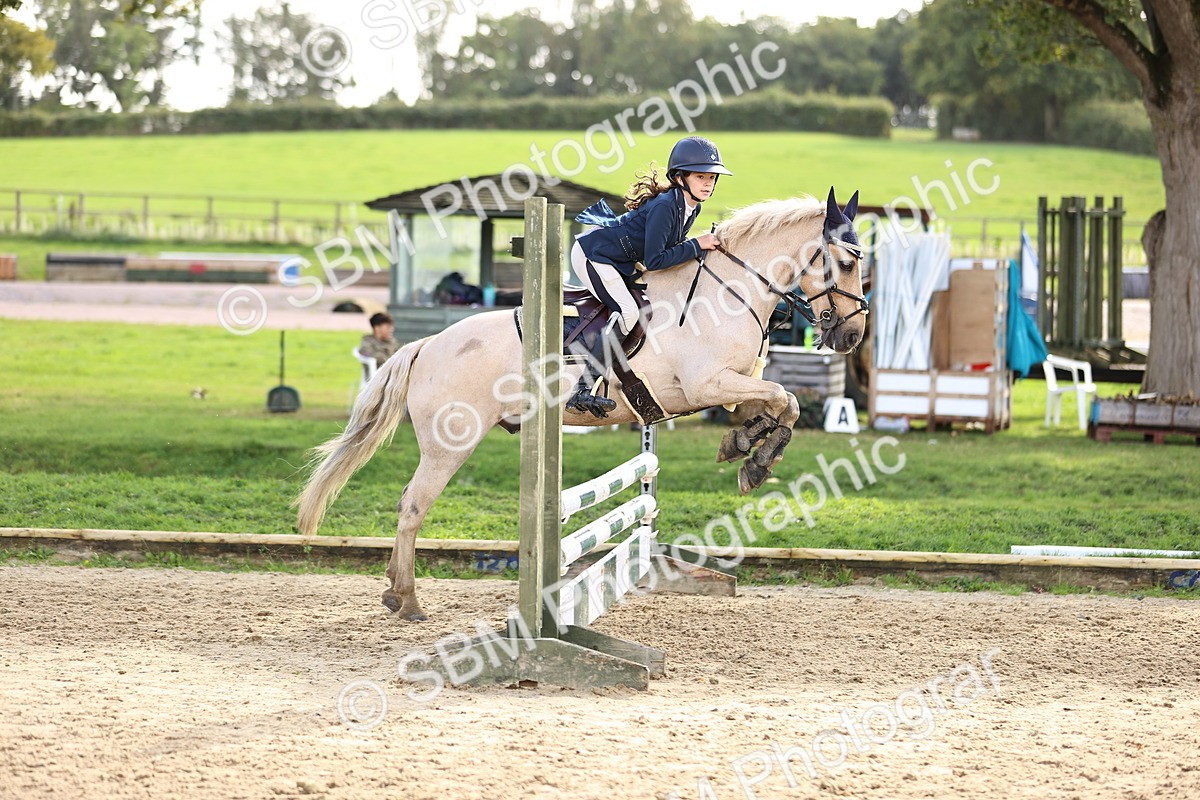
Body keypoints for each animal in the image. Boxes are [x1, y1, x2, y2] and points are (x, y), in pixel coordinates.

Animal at [296, 189, 868, 620]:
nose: (852, 336)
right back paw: (409, 599)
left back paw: (394, 592)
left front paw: (746, 450)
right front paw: (755, 460)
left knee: (407, 505)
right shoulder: (706, 385)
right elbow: (784, 400)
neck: (730, 293)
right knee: (413, 505)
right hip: (449, 444)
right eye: (843, 263)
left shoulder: (735, 385)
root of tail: (427, 345)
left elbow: (780, 406)